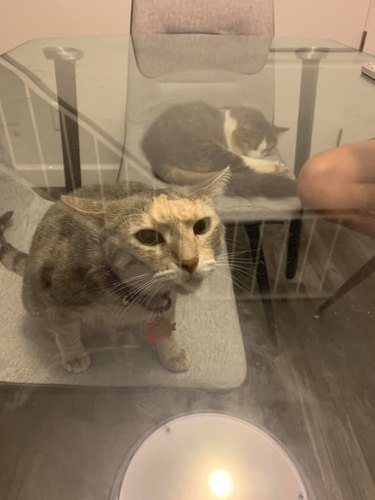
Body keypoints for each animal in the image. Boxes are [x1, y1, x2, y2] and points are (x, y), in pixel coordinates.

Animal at [0, 170, 229, 374]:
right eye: (148, 237)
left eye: (201, 226)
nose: (190, 261)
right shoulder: (57, 300)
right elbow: (66, 331)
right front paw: (74, 355)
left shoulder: (168, 303)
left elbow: (166, 329)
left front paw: (171, 353)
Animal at [142, 100, 296, 198]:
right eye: (252, 144)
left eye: (266, 149)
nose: (258, 155)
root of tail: (156, 154)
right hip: (206, 149)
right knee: (238, 164)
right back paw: (279, 168)